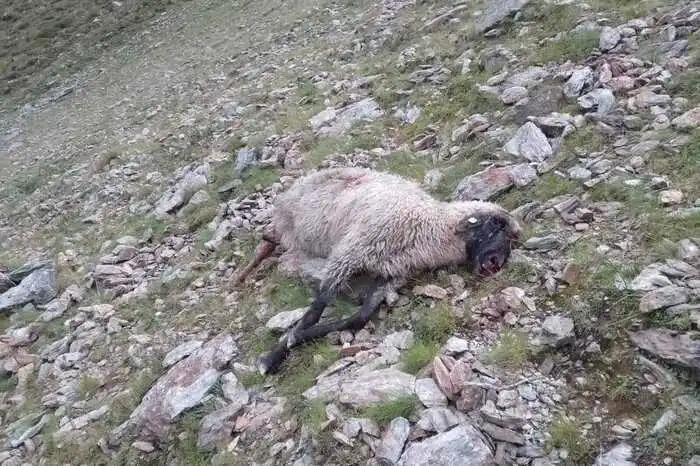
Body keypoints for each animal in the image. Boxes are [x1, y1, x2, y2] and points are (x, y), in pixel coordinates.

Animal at [234, 166, 522, 375]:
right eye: (494, 226)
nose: (496, 263)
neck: (428, 226)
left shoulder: (389, 275)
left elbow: (360, 317)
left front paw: (297, 337)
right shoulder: (350, 253)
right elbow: (319, 305)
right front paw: (273, 356)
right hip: (291, 224)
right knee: (267, 240)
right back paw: (242, 274)